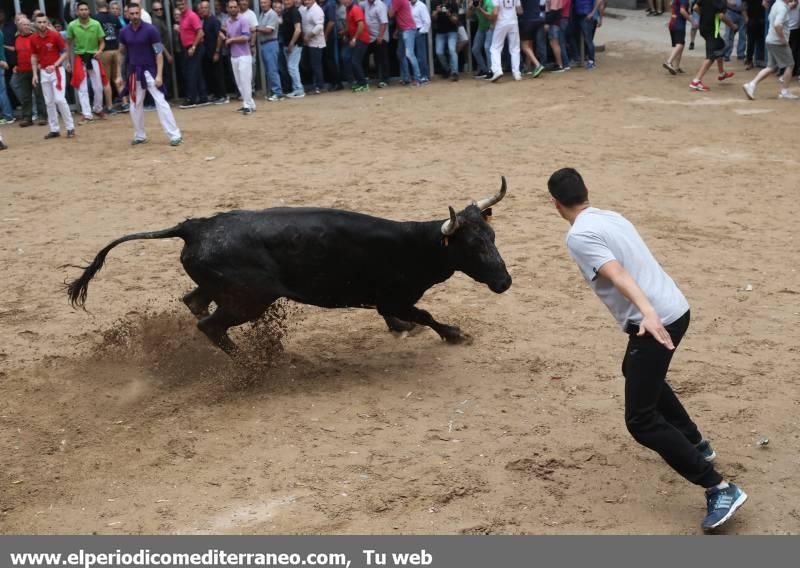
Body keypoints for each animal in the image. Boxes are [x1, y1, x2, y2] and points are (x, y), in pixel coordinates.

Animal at [64, 178, 512, 358]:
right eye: (472, 245)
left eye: (492, 236)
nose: (505, 281)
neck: (415, 245)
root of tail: (195, 226)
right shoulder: (395, 296)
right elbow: (425, 314)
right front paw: (454, 334)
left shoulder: (384, 299)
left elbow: (401, 316)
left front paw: (404, 330)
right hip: (250, 300)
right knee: (209, 325)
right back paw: (249, 361)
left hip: (222, 291)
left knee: (193, 303)